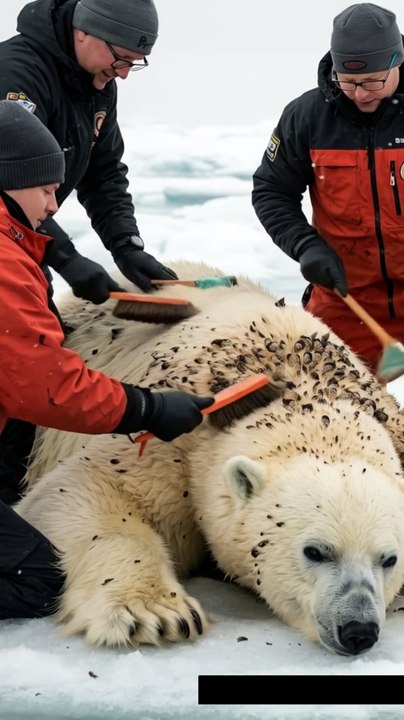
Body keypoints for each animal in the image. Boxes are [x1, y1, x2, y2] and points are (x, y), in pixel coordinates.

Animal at [17, 260, 404, 656]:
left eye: (389, 558)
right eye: (315, 551)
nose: (358, 629)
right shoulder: (176, 447)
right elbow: (83, 487)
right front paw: (158, 613)